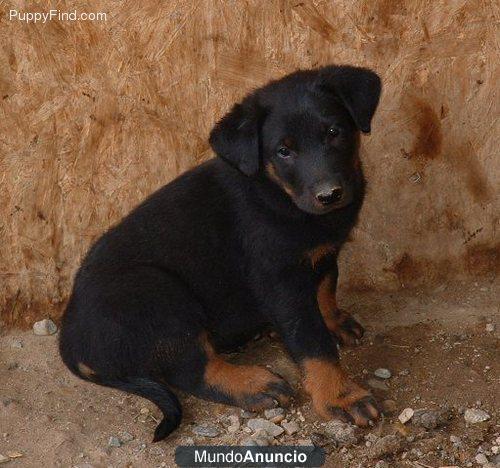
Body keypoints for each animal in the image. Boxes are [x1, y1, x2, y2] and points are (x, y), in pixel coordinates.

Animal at [60, 64, 382, 440]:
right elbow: (313, 344)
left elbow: (326, 286)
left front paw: (335, 320)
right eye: (283, 151)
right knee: (192, 370)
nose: (329, 195)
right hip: (159, 293)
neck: (277, 194)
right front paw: (341, 396)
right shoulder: (281, 281)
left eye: (334, 132)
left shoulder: (323, 253)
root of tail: (70, 338)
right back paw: (252, 384)